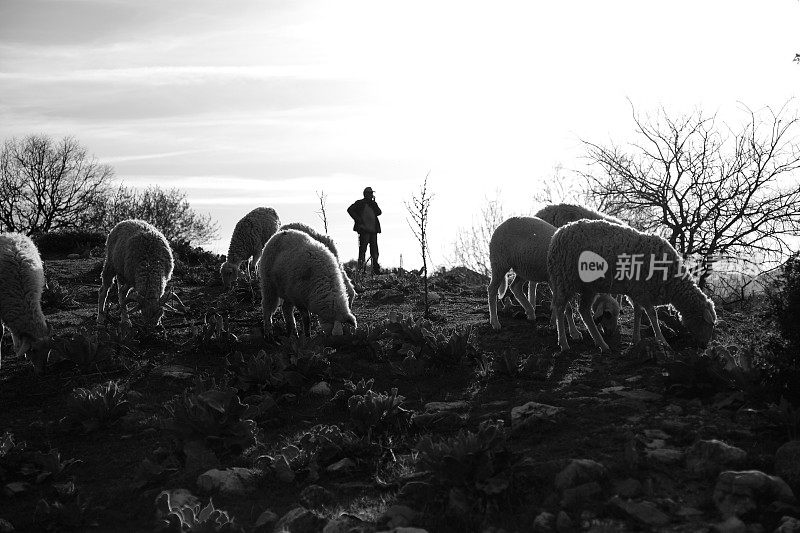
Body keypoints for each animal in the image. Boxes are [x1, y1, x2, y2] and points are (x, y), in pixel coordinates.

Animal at [548, 218, 716, 352]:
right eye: (707, 324)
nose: (704, 346)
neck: (671, 280)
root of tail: (558, 234)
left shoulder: (637, 291)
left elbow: (638, 313)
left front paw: (636, 339)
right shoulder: (642, 291)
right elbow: (652, 315)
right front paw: (662, 340)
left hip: (587, 286)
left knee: (583, 311)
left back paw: (601, 343)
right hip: (565, 279)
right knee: (560, 308)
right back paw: (564, 343)